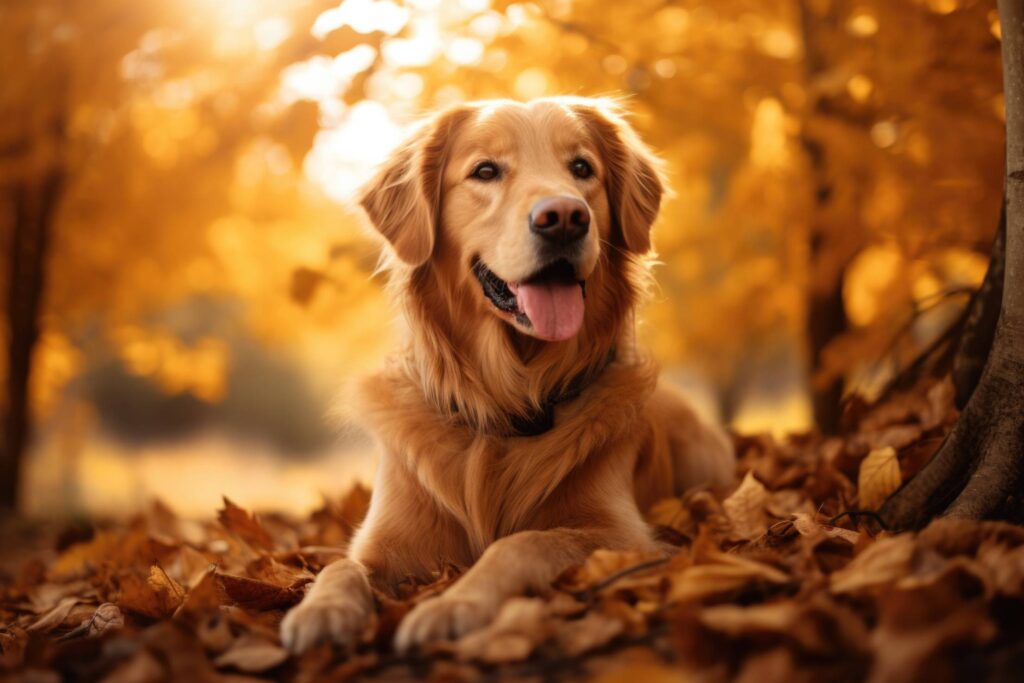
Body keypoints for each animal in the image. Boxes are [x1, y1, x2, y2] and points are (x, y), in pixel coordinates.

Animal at [280, 94, 737, 651]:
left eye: (581, 168)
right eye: (485, 171)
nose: (564, 217)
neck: (506, 400)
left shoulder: (625, 537)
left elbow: (521, 543)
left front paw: (454, 604)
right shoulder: (386, 541)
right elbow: (339, 567)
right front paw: (321, 609)